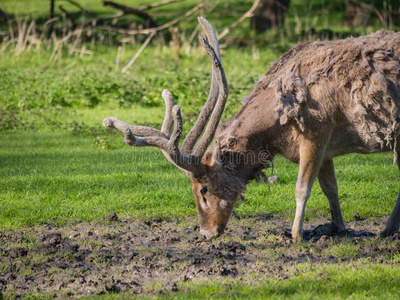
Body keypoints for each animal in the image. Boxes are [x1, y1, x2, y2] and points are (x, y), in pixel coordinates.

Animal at [104, 16, 400, 243]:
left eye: (203, 190)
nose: (205, 233)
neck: (277, 125)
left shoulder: (317, 133)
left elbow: (302, 187)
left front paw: (295, 235)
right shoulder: (326, 150)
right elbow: (331, 188)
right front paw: (338, 227)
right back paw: (386, 230)